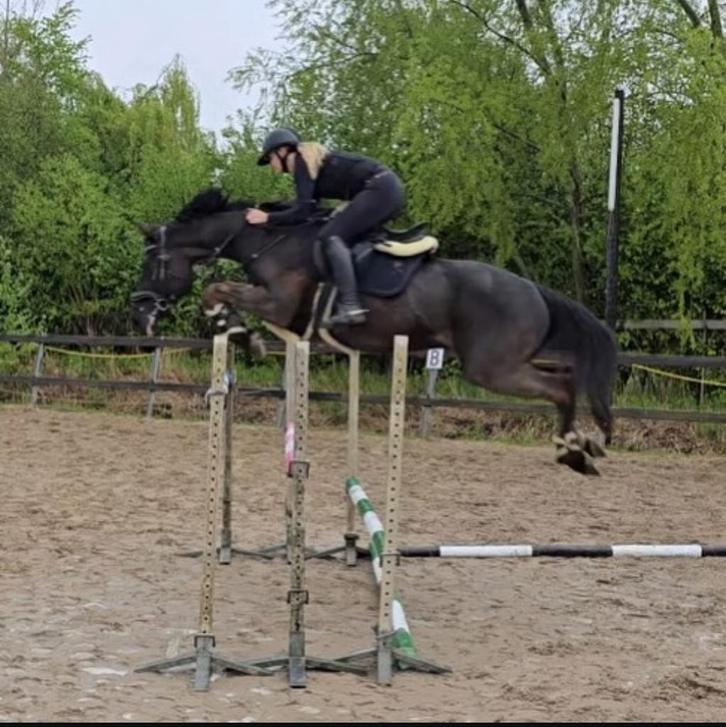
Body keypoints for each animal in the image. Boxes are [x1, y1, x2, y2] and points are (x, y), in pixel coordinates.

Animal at [131, 188, 618, 475]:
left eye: (151, 262)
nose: (141, 316)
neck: (272, 242)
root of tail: (533, 289)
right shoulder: (289, 320)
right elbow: (227, 295)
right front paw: (236, 331)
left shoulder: (279, 303)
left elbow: (217, 288)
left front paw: (233, 329)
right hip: (512, 360)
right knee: (568, 377)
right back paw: (582, 447)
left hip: (492, 368)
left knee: (560, 388)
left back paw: (573, 453)